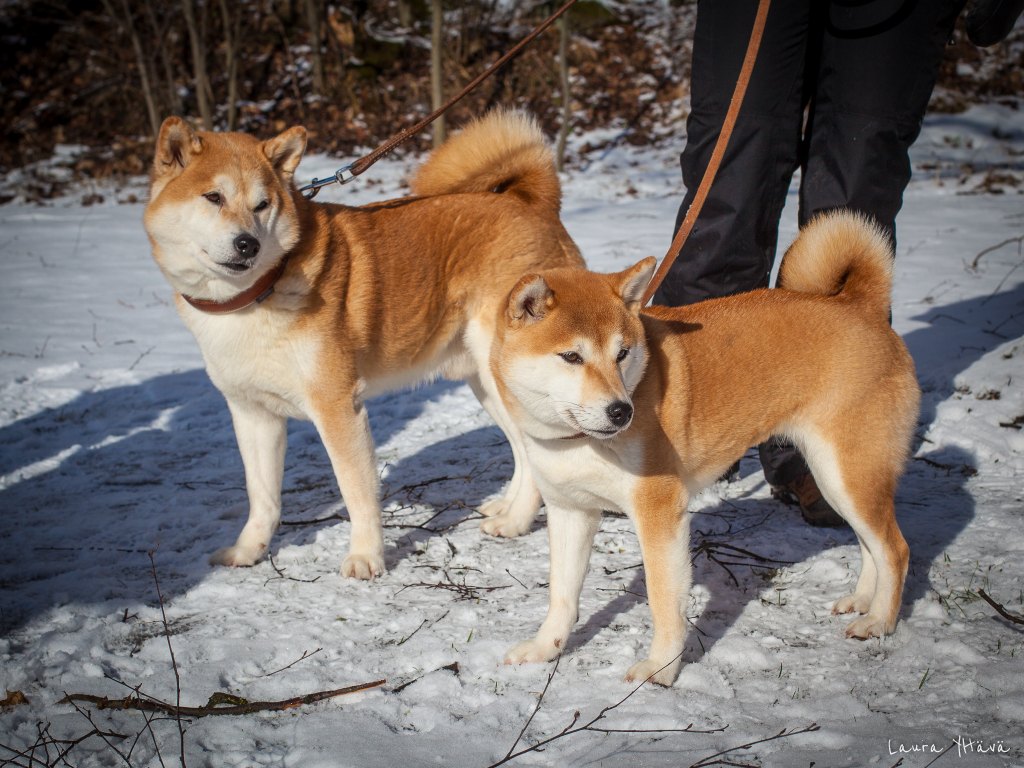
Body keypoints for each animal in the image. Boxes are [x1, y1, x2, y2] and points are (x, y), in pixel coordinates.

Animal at [142, 108, 585, 577]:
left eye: (262, 205)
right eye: (213, 197)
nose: (248, 243)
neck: (256, 295)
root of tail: (534, 206)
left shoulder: (337, 408)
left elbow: (356, 491)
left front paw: (365, 556)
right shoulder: (252, 414)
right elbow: (262, 497)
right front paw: (248, 551)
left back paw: (516, 521)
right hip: (485, 383)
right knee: (523, 452)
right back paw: (508, 509)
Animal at [495, 214, 921, 688]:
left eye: (622, 353)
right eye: (571, 356)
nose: (621, 411)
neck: (581, 441)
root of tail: (860, 305)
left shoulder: (659, 513)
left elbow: (664, 601)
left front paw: (660, 669)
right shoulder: (570, 511)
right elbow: (562, 596)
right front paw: (545, 649)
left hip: (847, 472)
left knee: (895, 550)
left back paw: (880, 621)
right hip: (835, 477)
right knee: (870, 545)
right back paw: (863, 600)